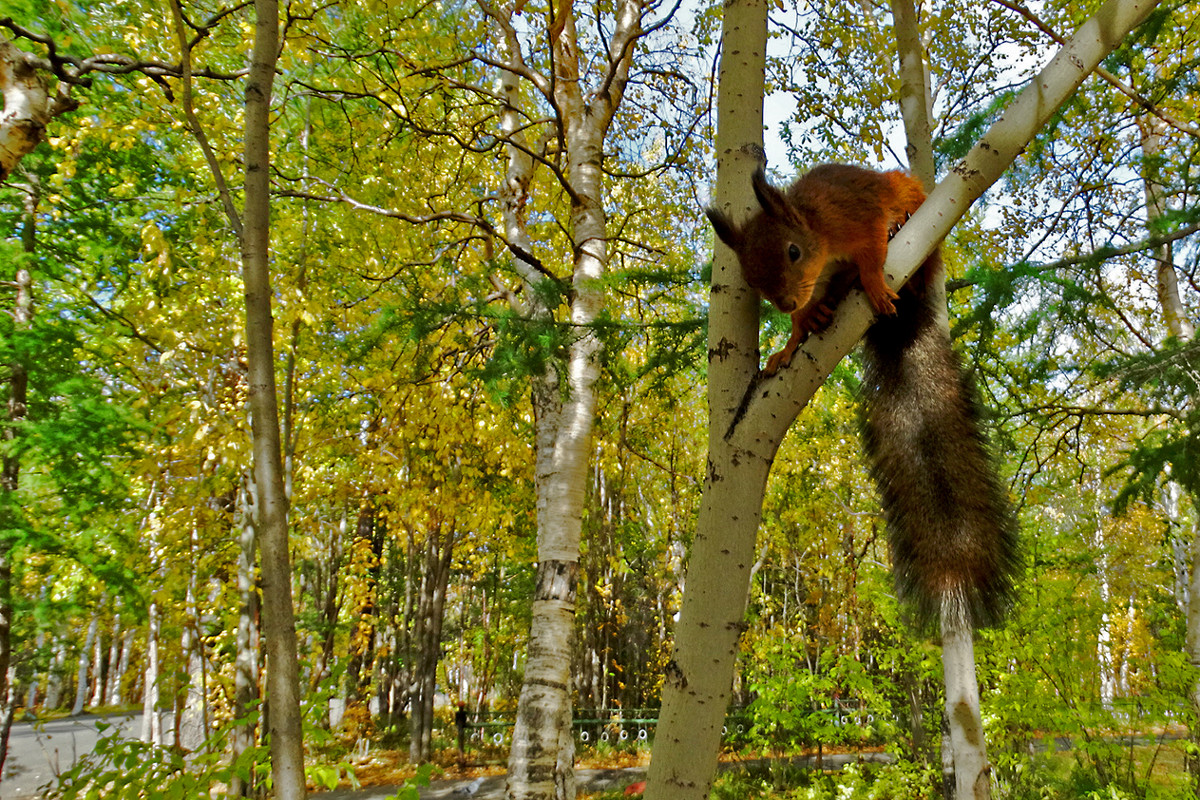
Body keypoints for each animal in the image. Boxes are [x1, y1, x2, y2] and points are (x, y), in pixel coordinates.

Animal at [700, 164, 1022, 633]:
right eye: (752, 278)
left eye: (793, 251)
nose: (787, 301)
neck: (819, 235)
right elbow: (802, 322)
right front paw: (792, 338)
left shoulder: (855, 217)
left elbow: (871, 252)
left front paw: (871, 277)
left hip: (911, 210)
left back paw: (898, 229)